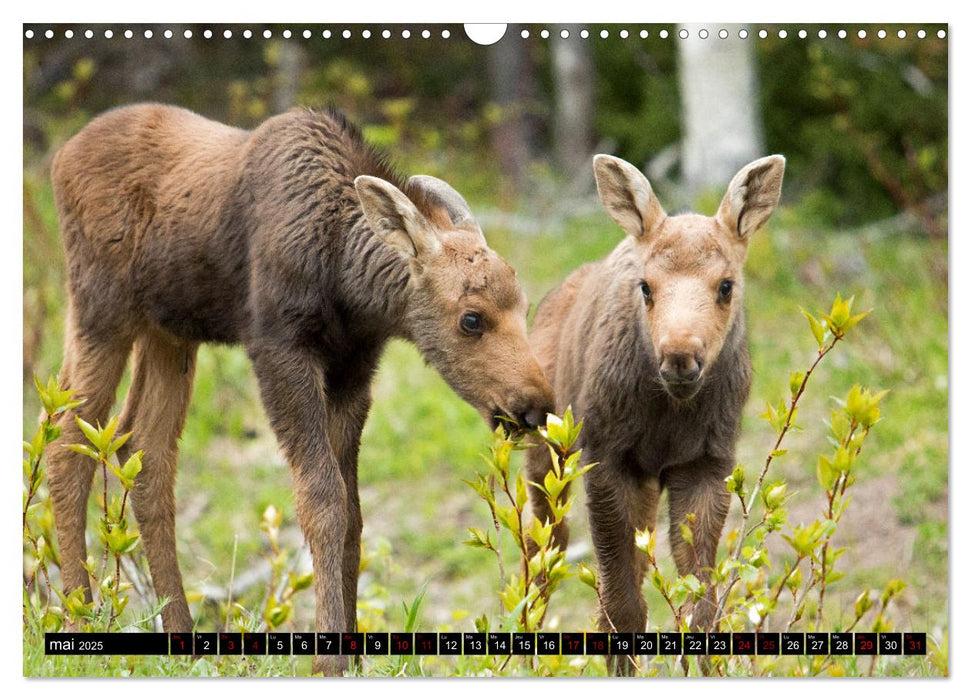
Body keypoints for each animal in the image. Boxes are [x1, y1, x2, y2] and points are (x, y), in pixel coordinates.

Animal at [47, 102, 556, 672]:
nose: (535, 406)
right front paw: (328, 660)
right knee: (66, 443)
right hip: (100, 310)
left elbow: (354, 515)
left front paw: (353, 657)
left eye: (524, 305)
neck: (346, 280)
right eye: (471, 319)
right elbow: (322, 502)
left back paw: (181, 638)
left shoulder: (353, 370)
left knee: (145, 451)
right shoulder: (279, 350)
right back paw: (77, 620)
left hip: (168, 333)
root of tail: (61, 159)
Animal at [528, 154, 784, 672]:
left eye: (726, 286)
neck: (669, 415)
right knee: (542, 552)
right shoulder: (606, 456)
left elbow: (700, 609)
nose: (680, 356)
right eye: (646, 287)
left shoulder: (706, 463)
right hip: (546, 456)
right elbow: (622, 608)